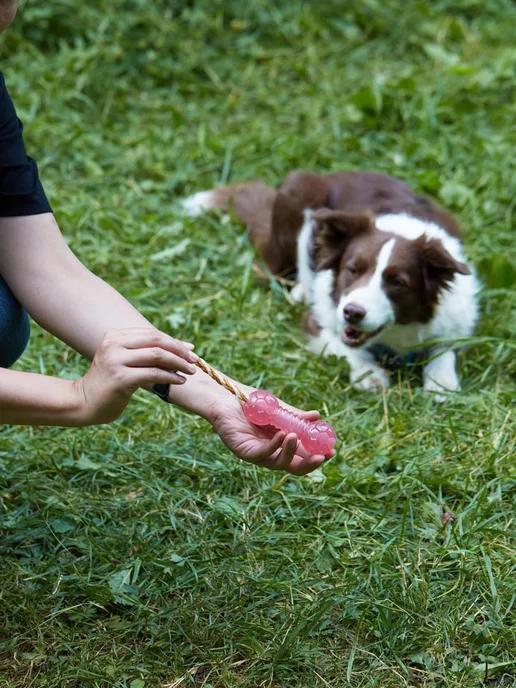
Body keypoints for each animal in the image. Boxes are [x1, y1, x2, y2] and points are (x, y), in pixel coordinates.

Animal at [182, 171, 480, 398]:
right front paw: (369, 375)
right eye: (352, 269)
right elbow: (343, 346)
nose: (353, 312)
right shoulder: (318, 319)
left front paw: (441, 382)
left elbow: (445, 347)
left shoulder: (458, 318)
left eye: (397, 282)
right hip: (298, 189)